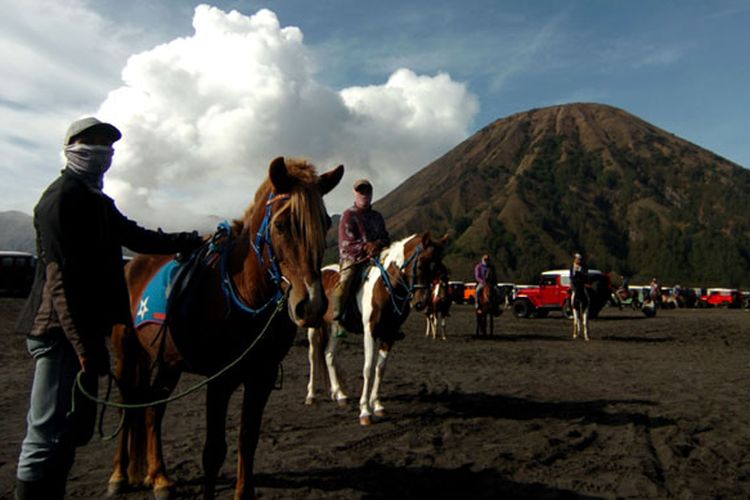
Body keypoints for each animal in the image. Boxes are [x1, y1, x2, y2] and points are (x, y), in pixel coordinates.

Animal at [108, 157, 344, 500]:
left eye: (326, 223)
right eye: (281, 225)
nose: (311, 306)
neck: (242, 293)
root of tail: (133, 264)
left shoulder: (261, 377)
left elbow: (248, 439)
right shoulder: (220, 381)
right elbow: (214, 452)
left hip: (167, 363)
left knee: (154, 411)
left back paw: (159, 477)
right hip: (126, 356)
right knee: (127, 408)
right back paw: (119, 475)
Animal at [304, 232, 450, 424]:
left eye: (437, 268)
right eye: (421, 264)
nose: (421, 302)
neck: (385, 287)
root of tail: (323, 271)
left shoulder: (389, 334)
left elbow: (380, 368)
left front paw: (378, 405)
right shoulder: (370, 332)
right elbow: (368, 369)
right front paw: (365, 411)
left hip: (336, 327)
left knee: (329, 355)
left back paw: (340, 394)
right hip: (314, 328)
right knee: (313, 356)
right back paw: (311, 396)